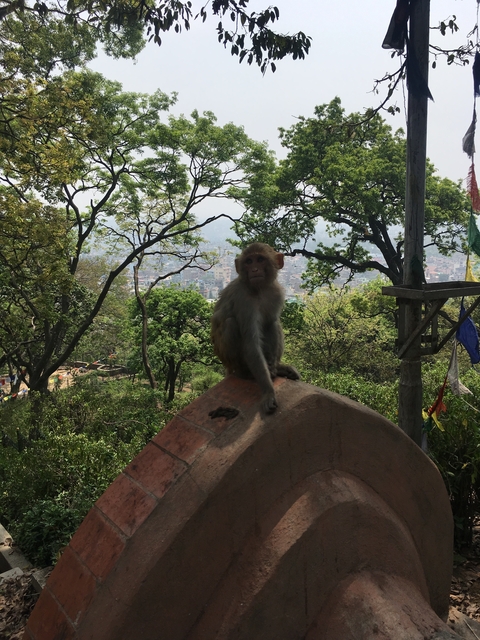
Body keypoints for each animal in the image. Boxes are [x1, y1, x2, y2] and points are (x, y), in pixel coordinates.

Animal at [211, 242, 300, 414]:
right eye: (249, 261)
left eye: (260, 259)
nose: (254, 270)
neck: (259, 290)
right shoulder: (243, 299)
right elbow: (251, 342)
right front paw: (268, 392)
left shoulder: (276, 293)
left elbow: (271, 324)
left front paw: (274, 367)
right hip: (226, 358)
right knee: (231, 323)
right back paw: (243, 372)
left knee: (274, 324)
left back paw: (277, 368)